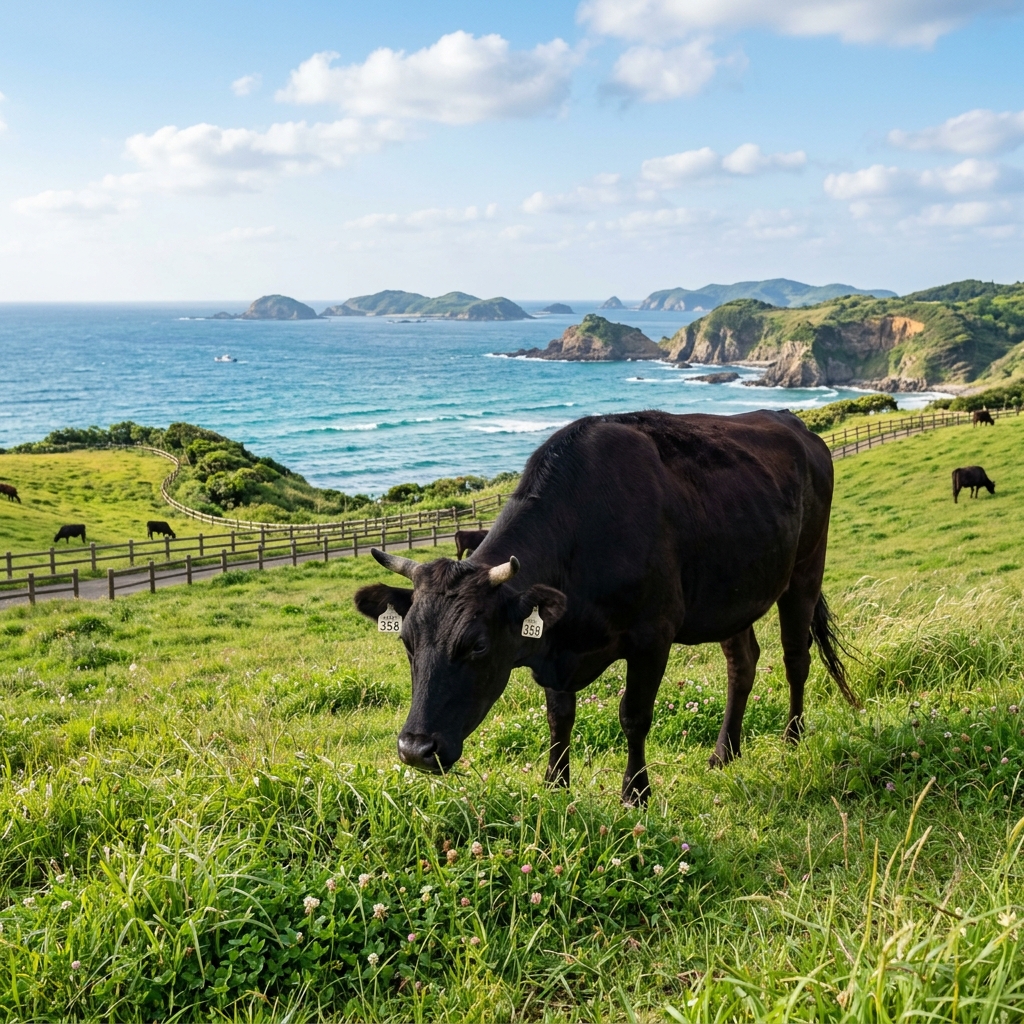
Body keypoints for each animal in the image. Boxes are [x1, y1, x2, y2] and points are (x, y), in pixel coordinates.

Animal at [354, 409, 854, 806]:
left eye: (476, 645)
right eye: (406, 640)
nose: (415, 749)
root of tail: (794, 424)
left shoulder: (653, 635)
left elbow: (634, 716)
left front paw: (635, 793)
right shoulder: (555, 646)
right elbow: (559, 718)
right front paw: (555, 785)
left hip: (805, 572)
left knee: (796, 658)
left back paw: (792, 738)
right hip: (732, 595)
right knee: (742, 663)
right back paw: (723, 754)